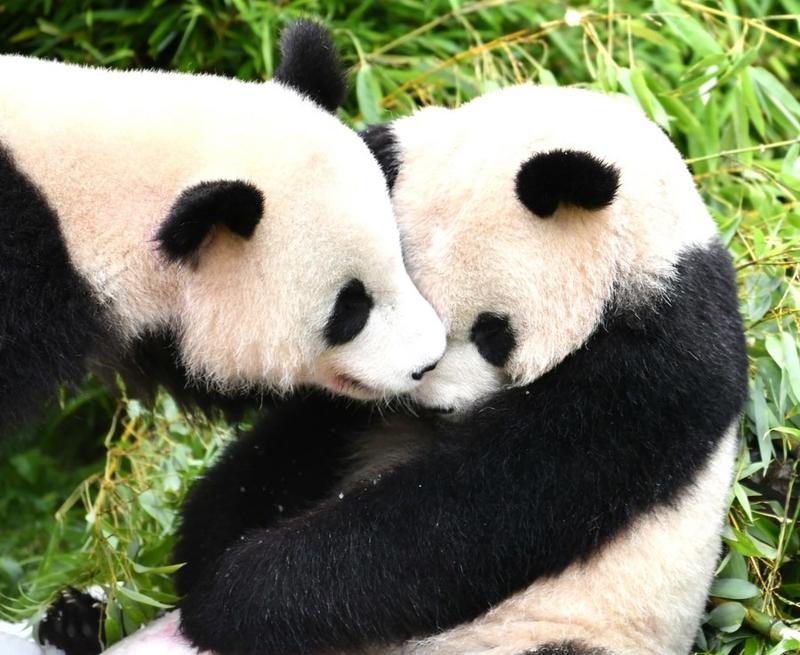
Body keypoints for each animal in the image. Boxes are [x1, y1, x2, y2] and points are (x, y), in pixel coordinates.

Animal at [39, 83, 752, 655]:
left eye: (493, 333)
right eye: (375, 310)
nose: (434, 404)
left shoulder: (655, 358)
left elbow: (478, 507)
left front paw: (236, 595)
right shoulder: (345, 402)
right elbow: (287, 448)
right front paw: (204, 555)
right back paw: (76, 620)